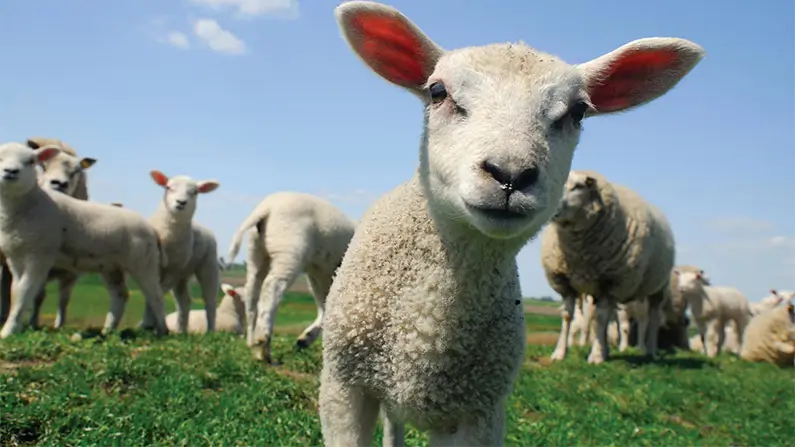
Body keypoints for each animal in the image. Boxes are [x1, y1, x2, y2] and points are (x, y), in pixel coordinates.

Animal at [0, 142, 169, 338]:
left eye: (31, 161)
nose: (11, 172)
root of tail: (151, 229)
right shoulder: (15, 258)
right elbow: (16, 292)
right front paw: (13, 327)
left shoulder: (40, 255)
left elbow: (25, 291)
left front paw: (8, 331)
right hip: (112, 266)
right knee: (120, 295)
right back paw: (107, 330)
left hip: (143, 261)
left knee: (155, 295)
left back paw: (162, 331)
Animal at [138, 170, 221, 334]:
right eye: (168, 187)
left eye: (195, 192)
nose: (181, 202)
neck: (168, 237)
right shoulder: (151, 266)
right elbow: (151, 292)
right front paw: (149, 324)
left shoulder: (174, 270)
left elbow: (157, 293)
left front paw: (149, 323)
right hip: (183, 274)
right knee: (184, 301)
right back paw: (181, 330)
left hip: (207, 265)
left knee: (210, 299)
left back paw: (210, 331)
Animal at [225, 191, 356, 363]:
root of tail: (266, 207)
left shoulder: (319, 272)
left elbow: (326, 305)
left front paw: (305, 339)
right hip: (288, 249)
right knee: (272, 287)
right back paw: (263, 344)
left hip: (256, 253)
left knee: (252, 293)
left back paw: (252, 342)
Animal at [541, 170, 677, 365]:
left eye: (578, 186)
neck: (578, 252)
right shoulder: (564, 282)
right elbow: (568, 316)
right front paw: (559, 353)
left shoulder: (611, 281)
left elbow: (599, 318)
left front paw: (596, 356)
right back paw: (606, 350)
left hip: (658, 288)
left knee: (653, 318)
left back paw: (650, 351)